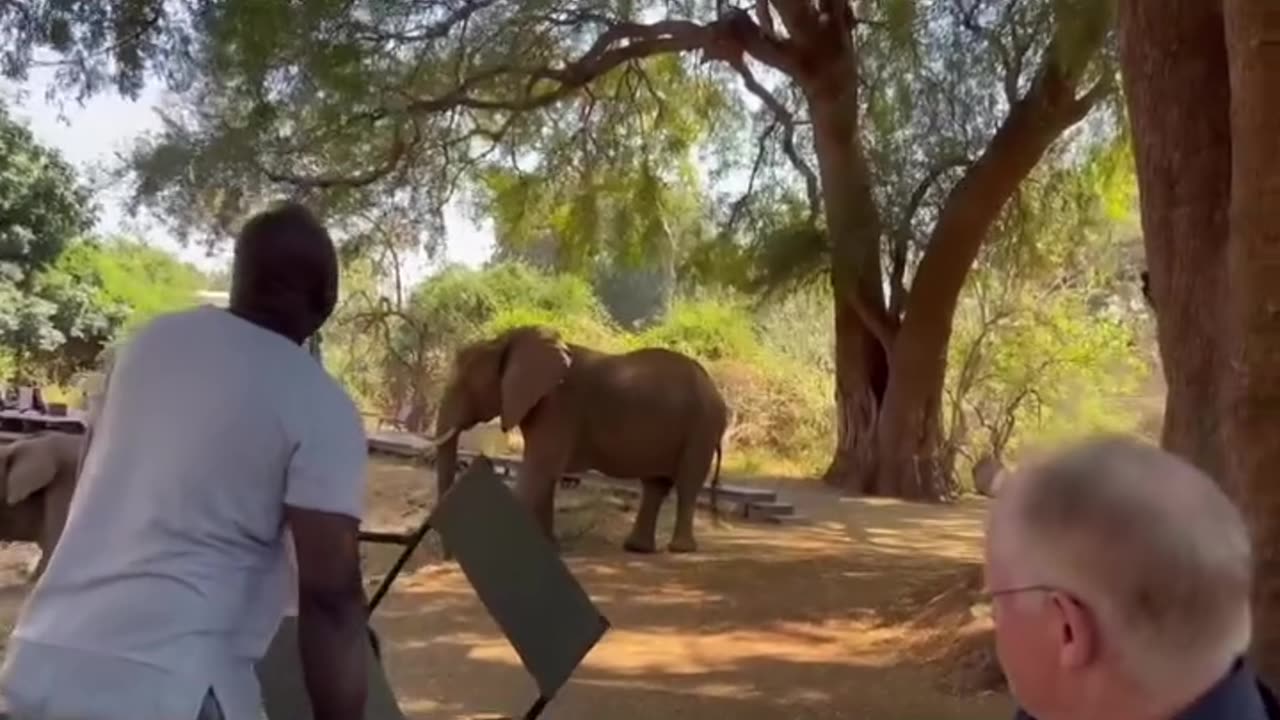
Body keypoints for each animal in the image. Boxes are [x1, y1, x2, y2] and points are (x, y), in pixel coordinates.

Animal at [430, 325, 732, 556]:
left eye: (466, 385)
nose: (447, 556)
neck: (509, 339)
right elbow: (545, 475)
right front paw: (548, 548)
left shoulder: (559, 407)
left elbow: (539, 471)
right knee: (656, 484)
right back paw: (637, 548)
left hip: (702, 426)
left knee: (688, 482)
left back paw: (680, 549)